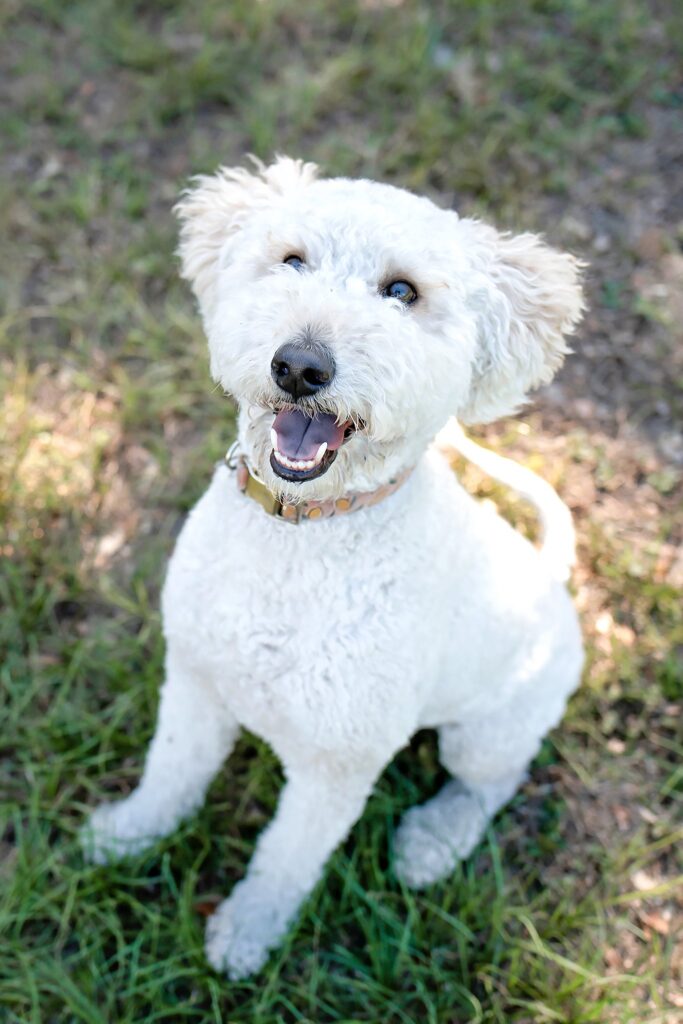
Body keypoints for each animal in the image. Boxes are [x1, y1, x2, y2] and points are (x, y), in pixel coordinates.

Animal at [82, 157, 585, 974]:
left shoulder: (336, 765)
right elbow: (171, 774)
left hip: (486, 732)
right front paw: (128, 834)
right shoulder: (193, 683)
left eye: (402, 292)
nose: (299, 365)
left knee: (490, 783)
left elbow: (287, 857)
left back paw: (430, 842)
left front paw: (247, 933)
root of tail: (552, 577)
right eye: (292, 261)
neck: (302, 538)